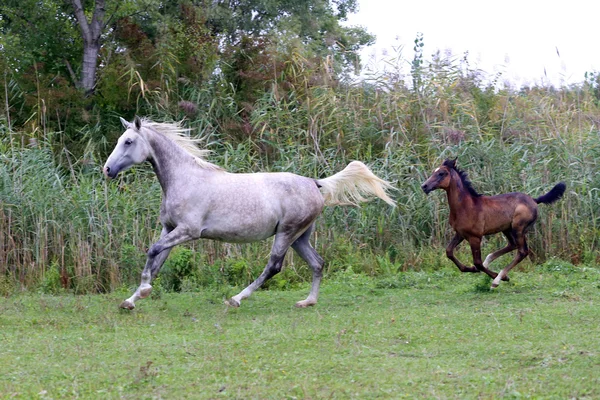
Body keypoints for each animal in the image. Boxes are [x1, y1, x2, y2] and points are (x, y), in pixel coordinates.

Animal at [104, 115, 394, 310]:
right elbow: (157, 261)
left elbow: (152, 251)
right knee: (317, 263)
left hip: (286, 232)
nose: (107, 170)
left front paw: (143, 291)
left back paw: (236, 298)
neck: (185, 178)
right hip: (299, 236)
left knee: (274, 266)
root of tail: (314, 182)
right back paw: (307, 302)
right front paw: (131, 300)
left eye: (128, 141)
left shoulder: (188, 231)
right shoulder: (170, 229)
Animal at [420, 159, 564, 288]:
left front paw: (501, 277)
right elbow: (449, 252)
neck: (466, 206)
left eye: (442, 173)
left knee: (522, 251)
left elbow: (477, 262)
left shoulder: (475, 237)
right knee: (512, 245)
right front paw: (470, 269)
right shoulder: (460, 234)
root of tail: (534, 200)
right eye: (434, 172)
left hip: (518, 228)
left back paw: (498, 279)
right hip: (507, 229)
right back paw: (490, 261)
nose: (424, 186)